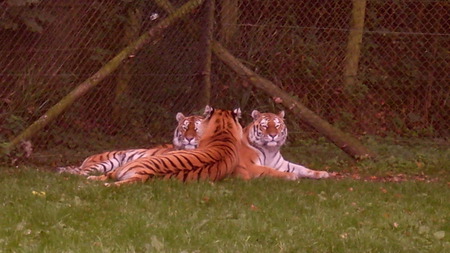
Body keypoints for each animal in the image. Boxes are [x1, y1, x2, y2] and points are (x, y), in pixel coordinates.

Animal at [55, 112, 205, 176]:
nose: (189, 139)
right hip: (106, 162)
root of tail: (87, 159)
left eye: (197, 128)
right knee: (80, 174)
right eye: (185, 128)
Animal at [87, 105, 298, 187]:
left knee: (103, 176)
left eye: (195, 129)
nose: (189, 139)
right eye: (185, 127)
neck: (223, 133)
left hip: (121, 167)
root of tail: (144, 174)